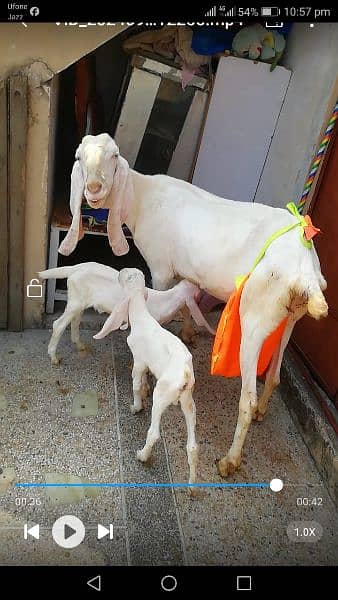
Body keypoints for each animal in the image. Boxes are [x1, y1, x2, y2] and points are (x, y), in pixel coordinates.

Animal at [58, 135, 328, 478]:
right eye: (79, 157)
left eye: (114, 156)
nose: (93, 188)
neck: (143, 197)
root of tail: (305, 271)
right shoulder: (185, 272)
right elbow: (187, 300)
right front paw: (187, 333)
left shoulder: (160, 268)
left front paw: (148, 378)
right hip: (289, 316)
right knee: (276, 374)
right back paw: (263, 411)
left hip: (255, 317)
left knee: (247, 399)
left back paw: (229, 460)